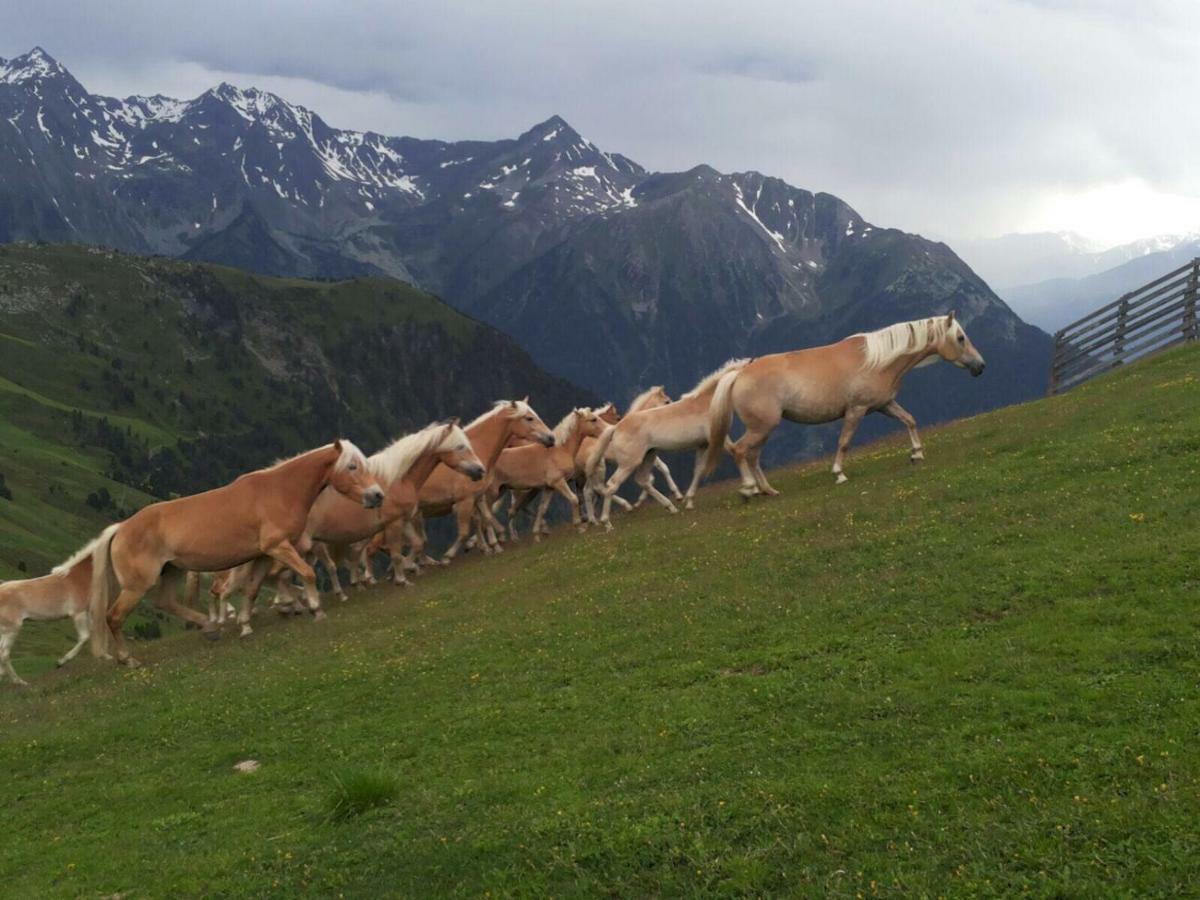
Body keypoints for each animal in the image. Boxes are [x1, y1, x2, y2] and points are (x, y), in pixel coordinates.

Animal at [0, 554, 94, 686]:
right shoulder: (79, 612)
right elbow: (85, 637)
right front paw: (61, 662)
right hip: (11, 629)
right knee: (4, 653)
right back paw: (19, 681)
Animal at [88, 441, 384, 667]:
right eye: (352, 466)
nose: (377, 495)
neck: (279, 490)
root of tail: (121, 528)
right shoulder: (278, 546)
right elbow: (308, 573)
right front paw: (316, 609)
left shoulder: (263, 554)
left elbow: (252, 590)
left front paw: (245, 626)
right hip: (137, 585)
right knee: (114, 617)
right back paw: (128, 659)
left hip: (172, 570)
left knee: (166, 602)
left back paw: (210, 628)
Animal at [492, 408, 609, 542]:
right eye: (593, 419)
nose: (608, 429)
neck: (559, 450)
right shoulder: (559, 482)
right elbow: (574, 499)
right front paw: (579, 526)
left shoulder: (549, 487)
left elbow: (542, 509)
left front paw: (537, 535)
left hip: (501, 491)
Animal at [583, 360, 744, 528]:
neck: (709, 403)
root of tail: (616, 428)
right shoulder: (719, 438)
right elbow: (737, 451)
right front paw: (750, 488)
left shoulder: (702, 445)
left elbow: (698, 470)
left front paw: (689, 501)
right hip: (628, 463)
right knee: (610, 485)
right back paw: (606, 521)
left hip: (648, 456)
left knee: (640, 480)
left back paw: (670, 507)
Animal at [710, 314, 984, 501]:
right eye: (961, 338)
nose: (980, 366)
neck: (877, 361)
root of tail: (740, 373)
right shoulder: (856, 410)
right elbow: (844, 442)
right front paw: (839, 473)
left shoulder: (884, 404)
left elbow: (909, 420)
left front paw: (916, 454)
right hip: (762, 427)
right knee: (739, 450)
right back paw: (749, 489)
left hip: (764, 429)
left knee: (752, 456)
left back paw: (768, 490)